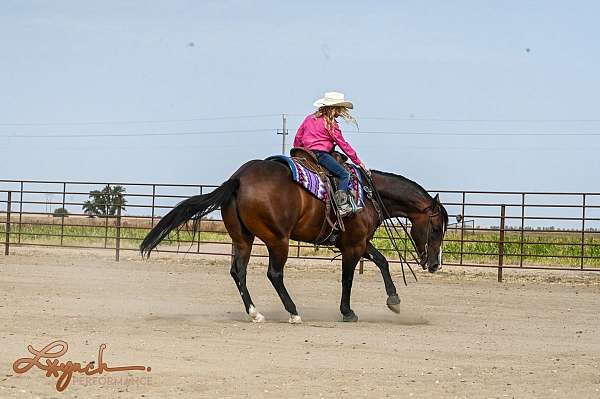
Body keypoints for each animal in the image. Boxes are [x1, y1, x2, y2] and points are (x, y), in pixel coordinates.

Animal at [141, 158, 448, 324]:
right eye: (436, 229)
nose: (435, 265)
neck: (369, 195)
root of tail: (239, 179)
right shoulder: (353, 246)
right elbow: (348, 279)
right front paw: (347, 312)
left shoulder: (357, 242)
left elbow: (382, 261)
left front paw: (394, 300)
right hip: (278, 240)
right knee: (274, 274)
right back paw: (293, 312)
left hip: (243, 239)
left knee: (238, 272)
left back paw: (255, 313)